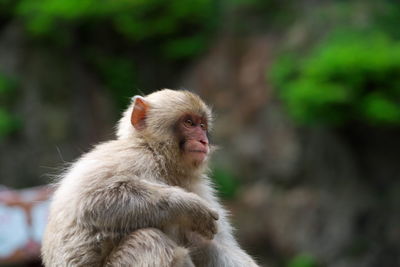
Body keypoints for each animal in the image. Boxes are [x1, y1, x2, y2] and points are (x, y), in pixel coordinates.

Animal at [41, 89, 260, 266]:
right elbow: (91, 200)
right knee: (149, 239)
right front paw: (188, 206)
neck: (160, 157)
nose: (203, 141)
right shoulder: (134, 157)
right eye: (189, 123)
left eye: (202, 126)